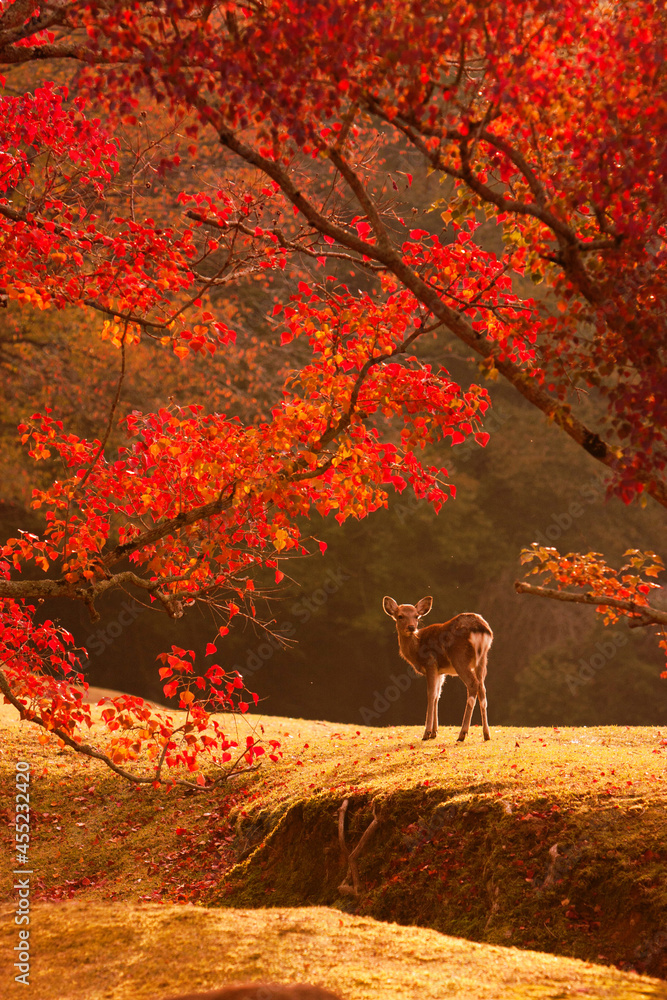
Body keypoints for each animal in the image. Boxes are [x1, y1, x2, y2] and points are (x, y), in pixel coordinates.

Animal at [384, 592, 494, 744]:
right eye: (400, 616)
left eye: (416, 616)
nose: (411, 627)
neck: (416, 648)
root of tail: (482, 629)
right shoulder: (441, 671)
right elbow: (437, 695)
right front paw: (434, 732)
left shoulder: (430, 663)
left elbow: (430, 694)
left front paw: (427, 732)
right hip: (483, 659)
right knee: (482, 688)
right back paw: (486, 734)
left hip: (459, 657)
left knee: (473, 684)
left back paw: (462, 733)